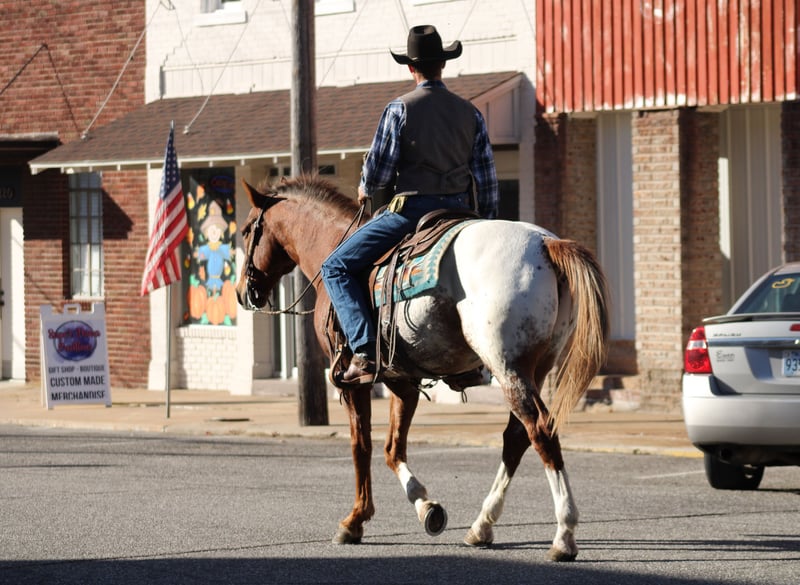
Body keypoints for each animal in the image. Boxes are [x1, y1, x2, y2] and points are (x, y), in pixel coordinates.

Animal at [236, 174, 610, 561]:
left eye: (247, 231)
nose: (242, 291)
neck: (329, 244)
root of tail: (546, 243)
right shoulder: (403, 382)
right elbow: (392, 448)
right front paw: (427, 508)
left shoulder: (353, 382)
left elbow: (362, 446)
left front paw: (355, 521)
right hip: (534, 367)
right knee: (516, 437)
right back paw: (482, 525)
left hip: (508, 368)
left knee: (540, 432)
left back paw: (563, 535)